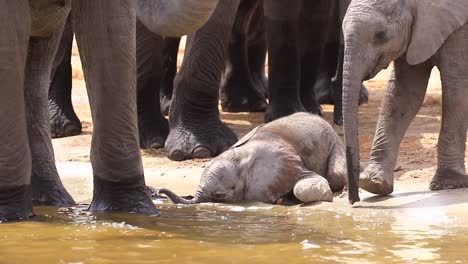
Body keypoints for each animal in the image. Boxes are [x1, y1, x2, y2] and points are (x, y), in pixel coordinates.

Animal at [159, 112, 346, 205]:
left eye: (220, 195)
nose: (160, 190)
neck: (243, 156)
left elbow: (306, 185)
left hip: (334, 144)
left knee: (336, 175)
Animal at [340, 0, 468, 204]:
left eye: (380, 34)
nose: (354, 200)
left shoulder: (461, 29)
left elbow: (457, 86)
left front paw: (449, 184)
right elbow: (404, 90)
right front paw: (373, 183)